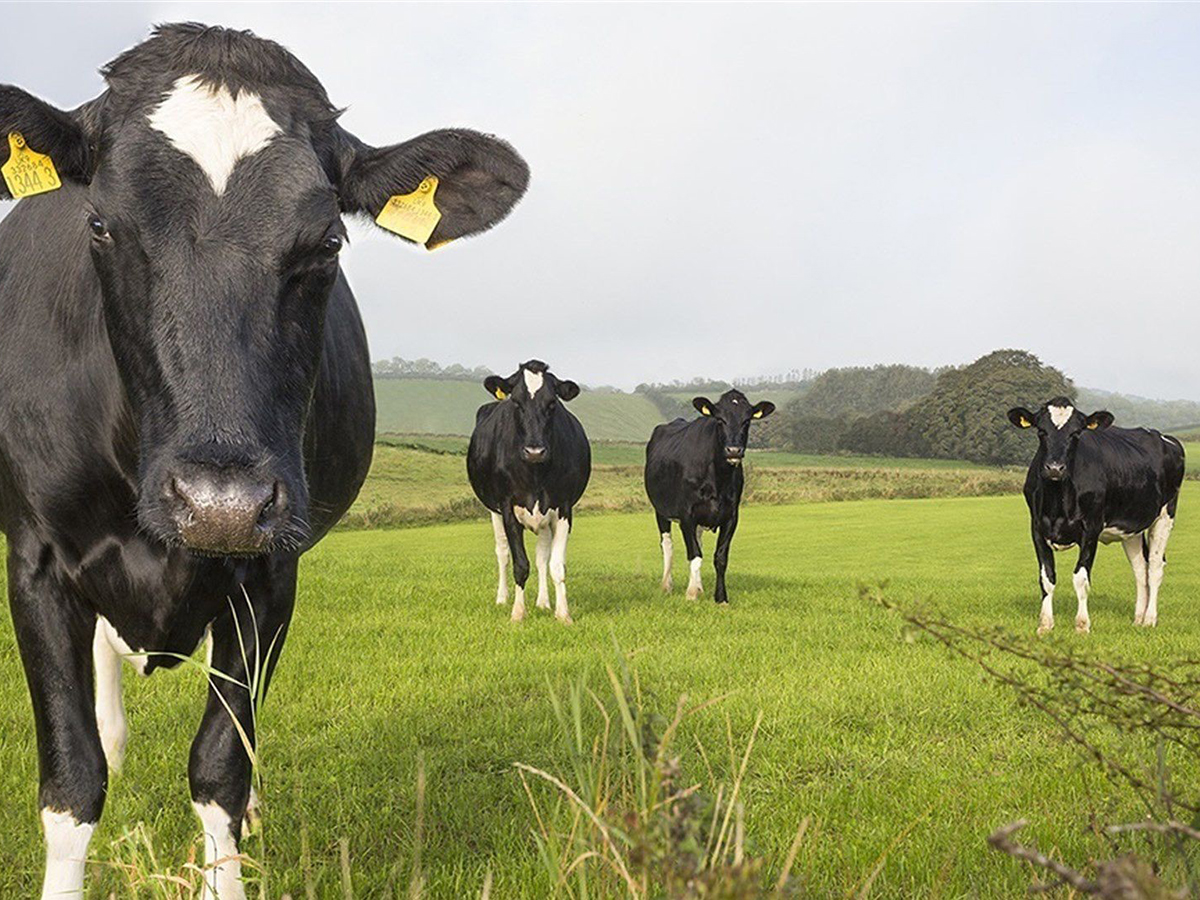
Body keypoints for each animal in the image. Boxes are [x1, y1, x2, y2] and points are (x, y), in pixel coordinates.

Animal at [0, 24, 525, 897]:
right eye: (100, 225)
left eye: (329, 241)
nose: (219, 502)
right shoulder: (36, 561)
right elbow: (73, 781)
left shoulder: (272, 570)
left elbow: (219, 763)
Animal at [465, 362, 588, 624]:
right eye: (516, 402)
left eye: (552, 403)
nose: (535, 451)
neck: (535, 473)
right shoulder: (508, 508)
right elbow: (520, 565)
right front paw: (518, 613)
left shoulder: (564, 508)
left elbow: (556, 565)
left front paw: (563, 614)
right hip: (493, 511)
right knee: (502, 553)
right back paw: (502, 598)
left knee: (542, 557)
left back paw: (543, 602)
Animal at [648, 388, 777, 607]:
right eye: (720, 420)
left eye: (747, 420)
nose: (734, 450)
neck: (718, 478)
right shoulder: (687, 515)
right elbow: (694, 556)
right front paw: (691, 593)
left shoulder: (731, 516)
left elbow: (720, 557)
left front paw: (720, 598)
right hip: (661, 510)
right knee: (667, 545)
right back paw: (667, 585)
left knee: (697, 541)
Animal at [1008, 398, 1185, 638]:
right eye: (1041, 431)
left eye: (1076, 433)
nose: (1054, 468)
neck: (1058, 502)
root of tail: (1165, 437)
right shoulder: (1037, 529)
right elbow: (1047, 578)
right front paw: (1045, 624)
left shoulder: (1090, 529)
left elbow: (1080, 579)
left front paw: (1082, 625)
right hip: (1131, 526)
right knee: (1141, 568)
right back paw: (1138, 619)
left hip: (1165, 514)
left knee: (1155, 567)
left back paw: (1149, 619)